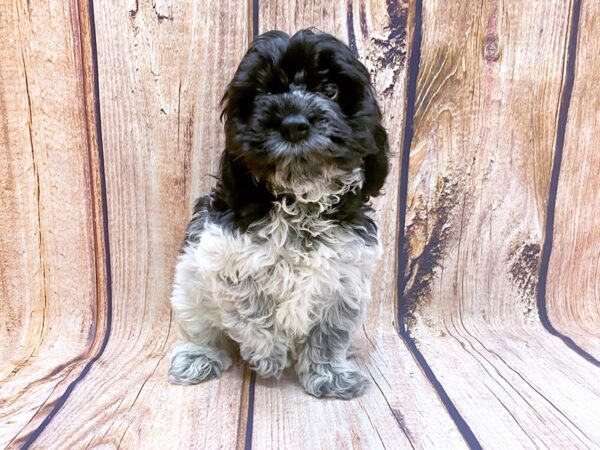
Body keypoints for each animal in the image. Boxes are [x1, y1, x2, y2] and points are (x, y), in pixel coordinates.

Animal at [169, 28, 390, 400]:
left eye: (329, 89)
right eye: (261, 93)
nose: (294, 124)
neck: (300, 200)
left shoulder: (345, 279)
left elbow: (329, 334)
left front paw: (330, 375)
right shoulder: (224, 258)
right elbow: (250, 309)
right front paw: (269, 355)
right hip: (188, 290)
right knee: (201, 328)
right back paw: (199, 356)